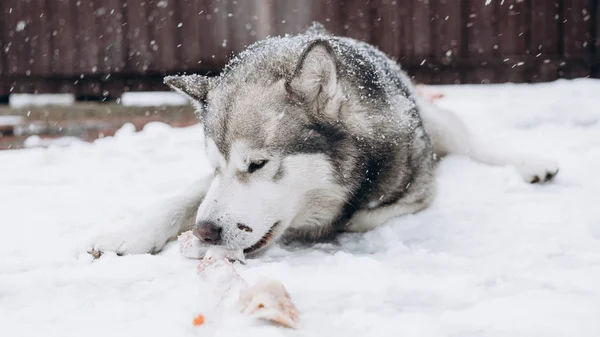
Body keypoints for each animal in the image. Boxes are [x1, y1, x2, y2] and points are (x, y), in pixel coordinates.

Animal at [88, 22, 556, 256]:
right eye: (214, 166)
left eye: (257, 164)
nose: (205, 232)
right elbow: (183, 197)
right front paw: (130, 234)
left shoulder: (412, 192)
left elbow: (355, 218)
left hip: (437, 121)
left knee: (470, 141)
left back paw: (531, 164)